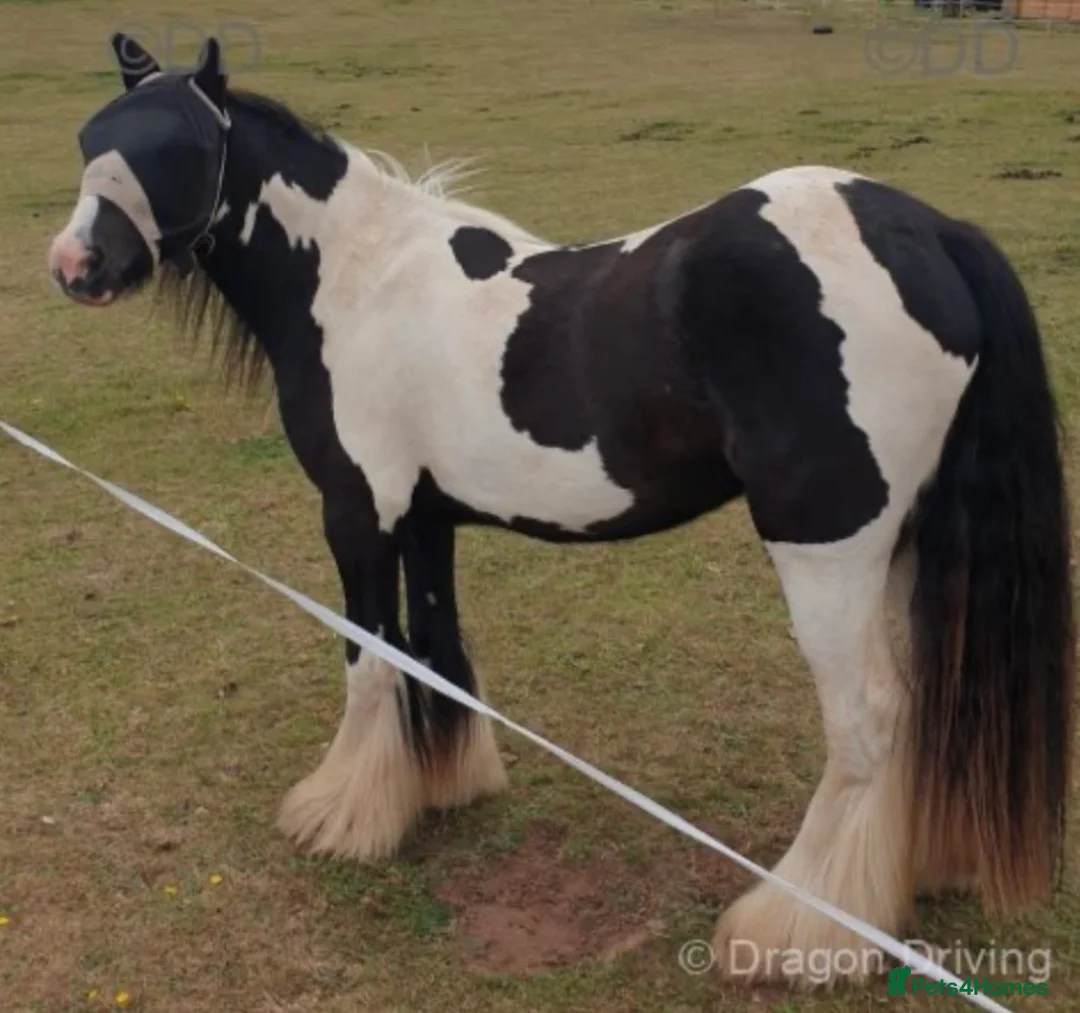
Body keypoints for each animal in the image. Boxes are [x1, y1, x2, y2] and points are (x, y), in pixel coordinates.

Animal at [46, 34, 1075, 987]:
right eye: (93, 139)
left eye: (176, 146)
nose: (75, 265)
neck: (355, 280)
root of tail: (930, 232)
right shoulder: (424, 518)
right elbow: (434, 648)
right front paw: (442, 786)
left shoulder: (358, 513)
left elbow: (370, 659)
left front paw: (342, 813)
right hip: (907, 545)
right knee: (929, 700)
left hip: (828, 549)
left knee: (868, 722)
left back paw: (796, 930)